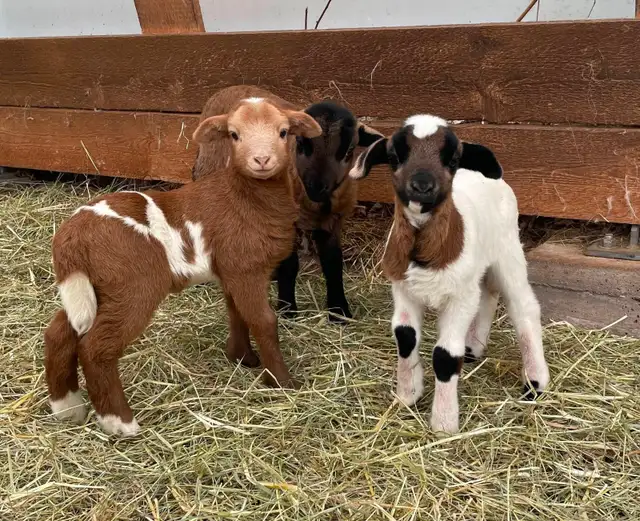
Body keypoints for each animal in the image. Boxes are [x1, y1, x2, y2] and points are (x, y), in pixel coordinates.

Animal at [44, 98, 322, 436]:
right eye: (234, 135)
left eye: (283, 132)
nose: (262, 159)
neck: (244, 196)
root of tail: (72, 233)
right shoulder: (248, 268)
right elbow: (264, 321)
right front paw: (283, 382)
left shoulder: (231, 270)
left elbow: (236, 312)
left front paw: (242, 358)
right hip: (132, 287)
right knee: (95, 347)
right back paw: (120, 423)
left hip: (91, 287)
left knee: (60, 332)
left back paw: (67, 408)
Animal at [192, 85, 384, 322]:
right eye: (300, 144)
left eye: (349, 150)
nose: (316, 186)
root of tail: (226, 88)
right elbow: (290, 265)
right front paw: (287, 310)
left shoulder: (332, 222)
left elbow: (333, 263)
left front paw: (339, 311)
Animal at [349, 115, 550, 434]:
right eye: (394, 156)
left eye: (453, 159)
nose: (422, 185)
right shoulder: (403, 290)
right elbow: (405, 337)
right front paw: (407, 395)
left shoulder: (458, 298)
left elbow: (444, 356)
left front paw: (444, 423)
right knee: (488, 295)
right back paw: (473, 348)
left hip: (509, 253)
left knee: (524, 309)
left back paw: (534, 382)